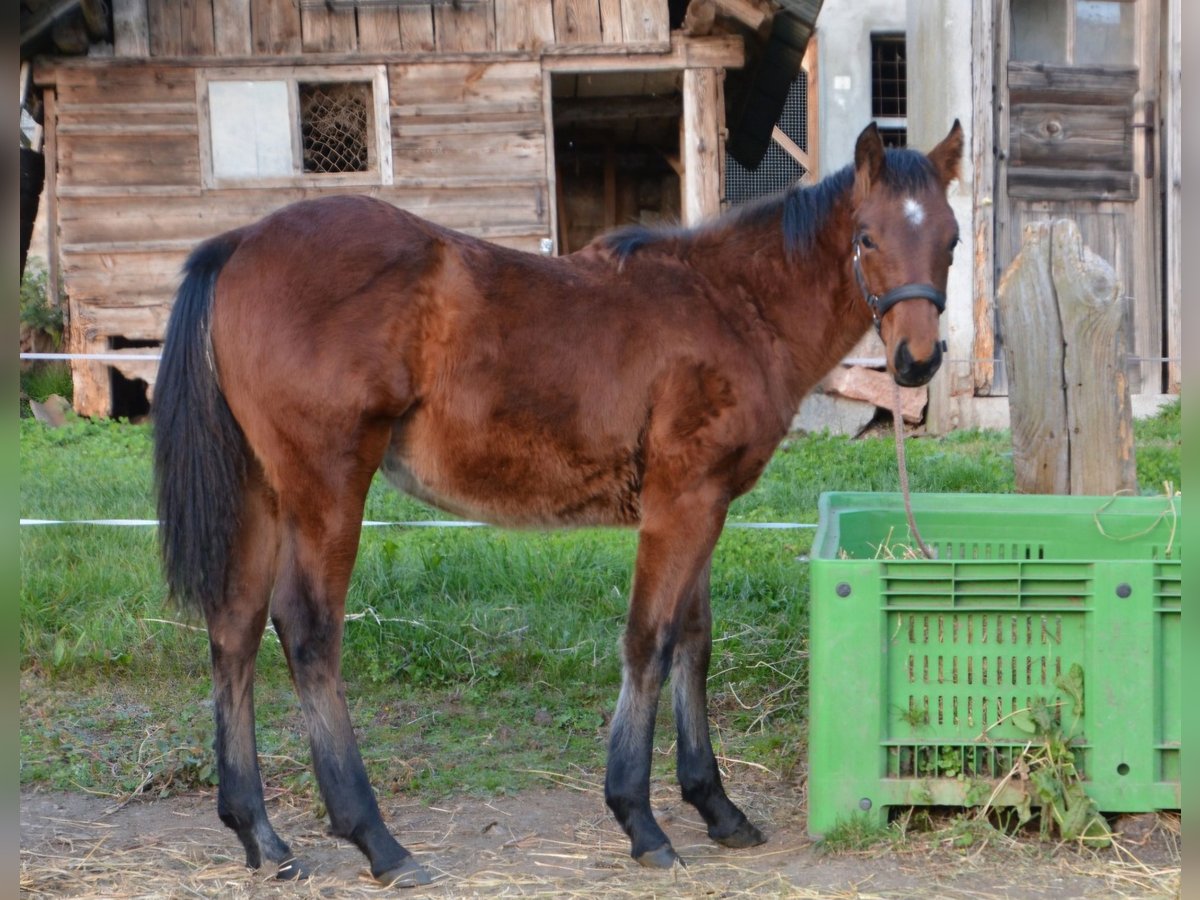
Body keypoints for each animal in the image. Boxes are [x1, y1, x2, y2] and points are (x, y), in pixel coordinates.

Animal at [154, 121, 960, 888]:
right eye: (867, 237)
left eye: (950, 239)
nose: (917, 361)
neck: (732, 305)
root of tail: (239, 242)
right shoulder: (681, 502)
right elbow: (649, 641)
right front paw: (640, 820)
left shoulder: (706, 503)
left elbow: (693, 643)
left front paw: (717, 807)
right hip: (327, 484)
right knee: (307, 629)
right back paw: (378, 840)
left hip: (263, 490)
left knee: (234, 627)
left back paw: (261, 834)